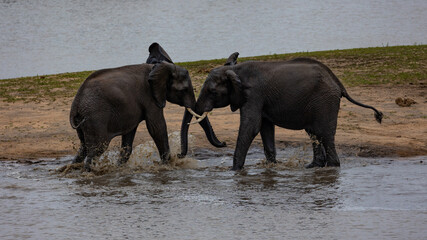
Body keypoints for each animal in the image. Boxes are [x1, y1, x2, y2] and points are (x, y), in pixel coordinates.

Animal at [70, 42, 224, 171]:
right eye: (184, 90)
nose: (224, 143)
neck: (158, 67)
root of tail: (76, 104)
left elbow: (129, 136)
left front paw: (120, 167)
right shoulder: (150, 97)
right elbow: (157, 128)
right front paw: (168, 165)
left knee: (84, 148)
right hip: (95, 118)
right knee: (96, 149)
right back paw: (89, 171)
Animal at [191, 52, 384, 170]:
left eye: (212, 92)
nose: (223, 143)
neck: (234, 70)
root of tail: (339, 83)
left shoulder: (253, 95)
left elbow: (251, 127)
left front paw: (234, 170)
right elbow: (265, 128)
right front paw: (272, 167)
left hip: (325, 102)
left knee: (325, 134)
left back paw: (332, 167)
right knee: (314, 133)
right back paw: (313, 166)